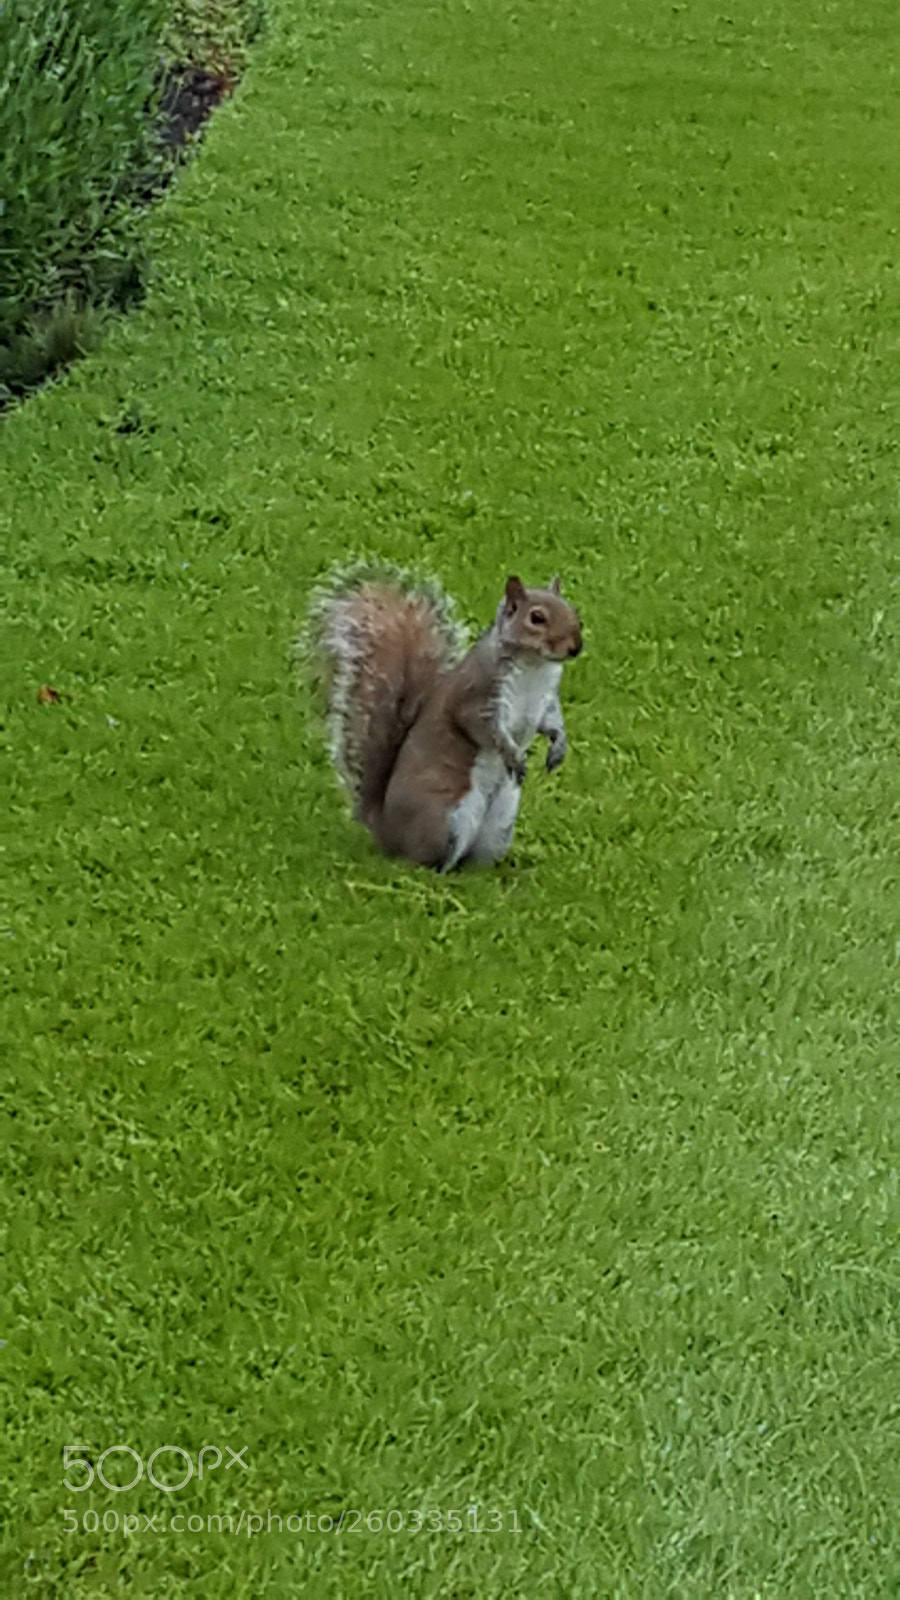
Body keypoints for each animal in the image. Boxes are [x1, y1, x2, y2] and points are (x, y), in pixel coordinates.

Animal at [303, 561, 583, 871]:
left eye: (574, 612)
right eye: (536, 618)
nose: (575, 647)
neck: (534, 666)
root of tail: (386, 831)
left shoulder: (546, 701)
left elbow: (552, 724)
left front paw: (559, 747)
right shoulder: (477, 696)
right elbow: (486, 730)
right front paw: (513, 755)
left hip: (499, 826)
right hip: (446, 821)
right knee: (425, 860)